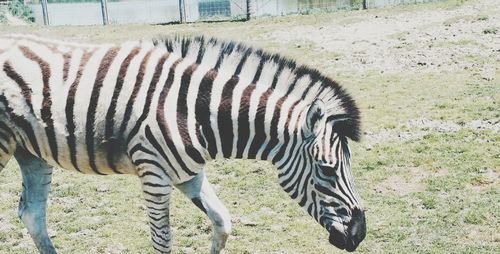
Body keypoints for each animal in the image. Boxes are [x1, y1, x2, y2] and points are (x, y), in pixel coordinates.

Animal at [0, 33, 368, 252]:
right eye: (327, 170)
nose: (359, 234)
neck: (196, 113)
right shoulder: (155, 176)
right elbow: (163, 241)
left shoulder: (189, 174)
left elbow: (222, 223)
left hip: (31, 152)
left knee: (32, 216)